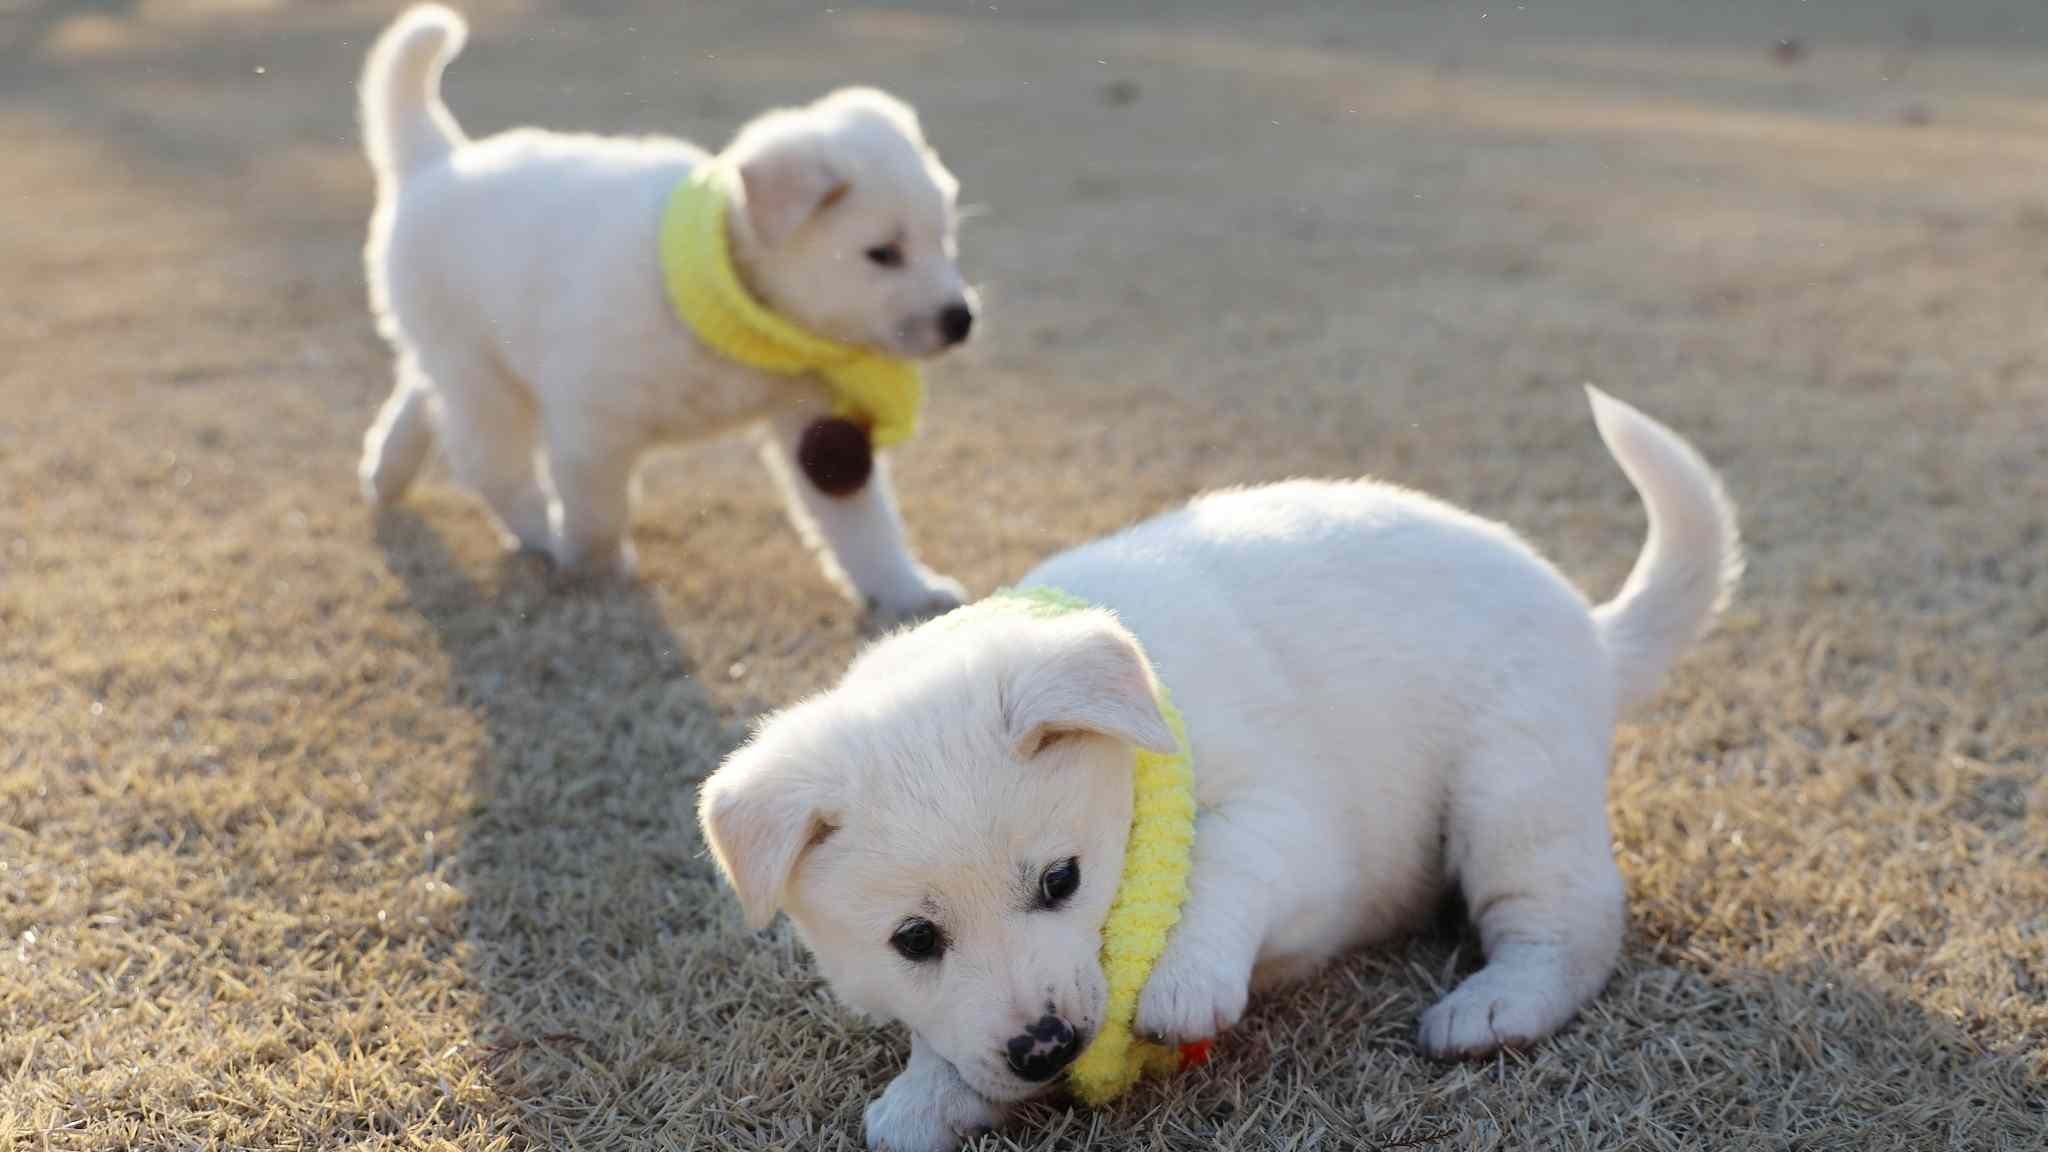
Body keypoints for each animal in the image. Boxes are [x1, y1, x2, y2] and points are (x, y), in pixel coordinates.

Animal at [356, 4, 970, 610]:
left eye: (945, 239)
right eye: (883, 254)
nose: (961, 320)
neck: (730, 303)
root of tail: (438, 161)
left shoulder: (814, 420)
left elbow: (866, 527)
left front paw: (906, 589)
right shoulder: (594, 424)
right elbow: (598, 514)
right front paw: (594, 567)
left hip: (456, 361)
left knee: (420, 396)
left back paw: (387, 471)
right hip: (481, 377)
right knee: (487, 462)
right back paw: (539, 528)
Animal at [704, 387, 1744, 1147]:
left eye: (1061, 881)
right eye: (913, 941)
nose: (1047, 1049)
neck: (1146, 734)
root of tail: (1596, 631)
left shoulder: (1295, 830)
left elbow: (1222, 867)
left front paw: (1182, 980)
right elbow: (951, 1039)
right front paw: (929, 1096)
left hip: (1510, 791)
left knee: (1570, 924)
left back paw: (1495, 1006)